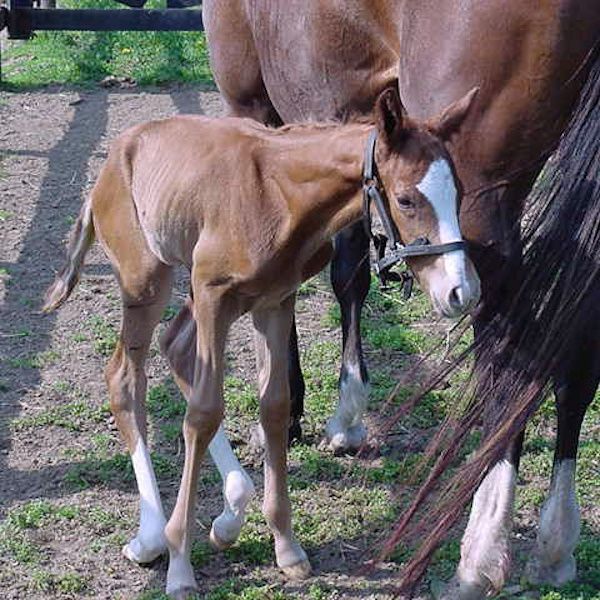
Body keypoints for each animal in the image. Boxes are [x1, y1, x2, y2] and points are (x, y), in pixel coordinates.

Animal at [44, 86, 478, 596]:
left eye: (460, 192)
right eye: (407, 200)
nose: (461, 291)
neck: (278, 194)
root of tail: (111, 161)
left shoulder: (275, 300)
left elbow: (273, 406)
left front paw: (286, 546)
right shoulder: (215, 296)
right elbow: (204, 413)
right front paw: (180, 565)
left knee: (175, 346)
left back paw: (231, 511)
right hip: (146, 281)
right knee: (125, 378)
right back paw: (152, 535)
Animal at [193, 2, 600, 596]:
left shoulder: (255, 109)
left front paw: (310, 413)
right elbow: (343, 264)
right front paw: (336, 410)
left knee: (508, 349)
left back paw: (482, 548)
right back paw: (556, 540)